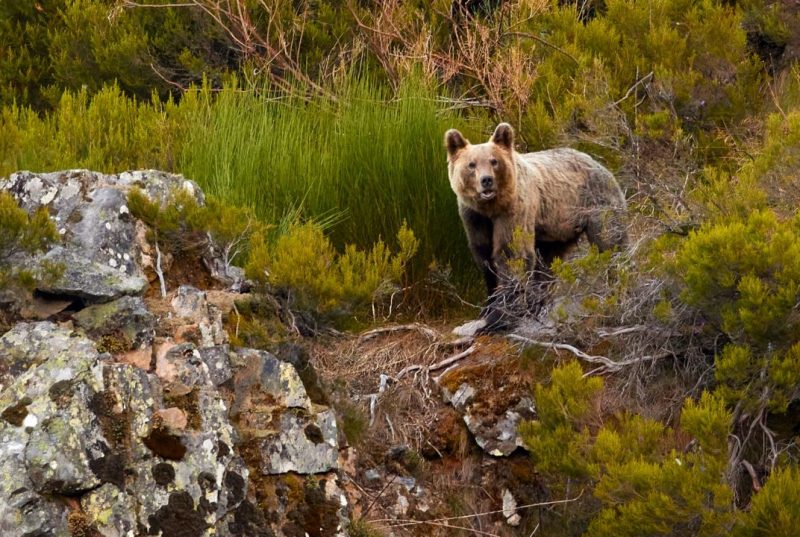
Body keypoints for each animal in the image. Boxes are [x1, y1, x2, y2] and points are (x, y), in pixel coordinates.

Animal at [445, 122, 627, 328]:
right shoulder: (474, 218)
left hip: (597, 204)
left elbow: (512, 252)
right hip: (557, 225)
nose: (486, 180)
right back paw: (538, 302)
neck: (491, 208)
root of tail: (600, 164)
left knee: (611, 243)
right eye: (471, 164)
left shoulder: (514, 210)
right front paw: (488, 307)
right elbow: (484, 255)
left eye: (494, 161)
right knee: (548, 260)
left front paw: (501, 315)